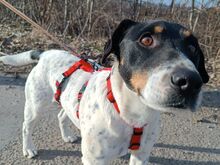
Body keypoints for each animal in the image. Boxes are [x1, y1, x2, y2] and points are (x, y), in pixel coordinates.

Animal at [0, 19, 209, 164]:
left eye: (193, 47)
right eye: (147, 40)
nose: (191, 82)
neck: (131, 113)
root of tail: (46, 53)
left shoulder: (141, 155)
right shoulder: (94, 160)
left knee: (62, 115)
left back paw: (67, 136)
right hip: (35, 106)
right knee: (26, 126)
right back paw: (29, 149)